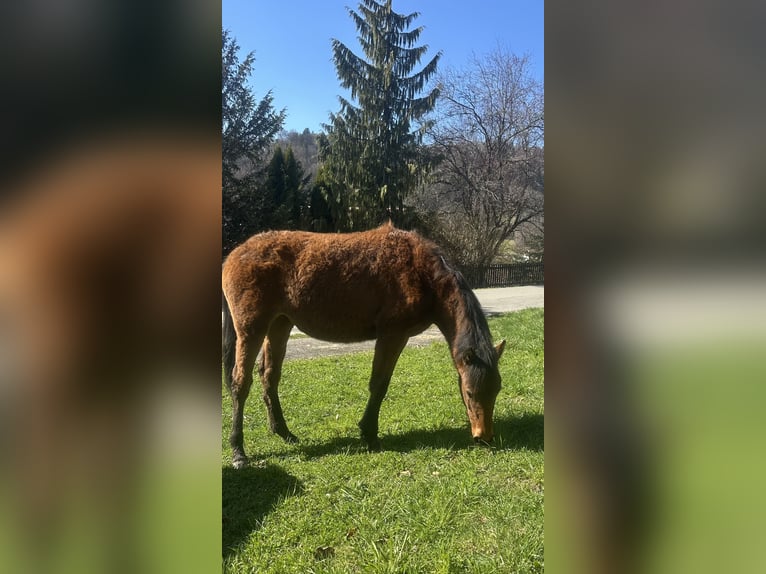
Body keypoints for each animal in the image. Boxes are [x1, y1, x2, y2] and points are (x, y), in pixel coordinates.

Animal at [221, 223, 506, 468]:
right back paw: (238, 451)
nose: (484, 437)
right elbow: (378, 385)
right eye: (469, 392)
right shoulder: (393, 335)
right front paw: (369, 434)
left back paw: (283, 431)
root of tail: (234, 255)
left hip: (280, 324)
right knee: (240, 383)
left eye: (497, 390)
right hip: (251, 329)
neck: (422, 273)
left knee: (269, 376)